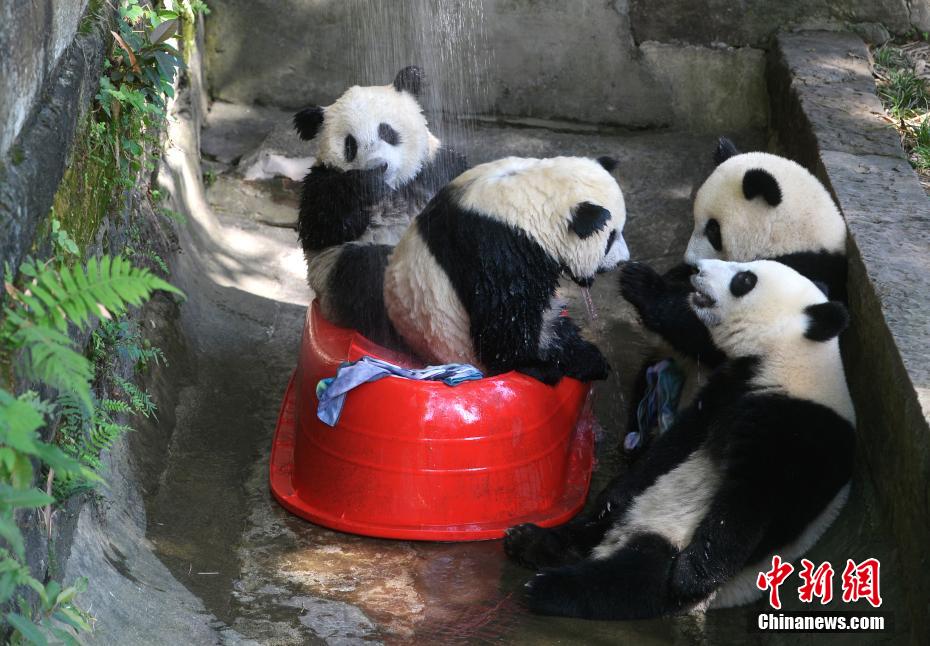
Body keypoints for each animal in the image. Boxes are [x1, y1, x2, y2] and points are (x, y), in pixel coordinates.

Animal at [504, 260, 852, 624]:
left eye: (744, 279)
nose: (698, 268)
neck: (789, 357)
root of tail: (618, 539)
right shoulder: (729, 387)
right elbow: (675, 444)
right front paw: (613, 494)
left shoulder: (797, 430)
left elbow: (749, 505)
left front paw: (689, 576)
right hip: (640, 509)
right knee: (591, 528)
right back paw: (531, 540)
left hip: (674, 539)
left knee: (633, 583)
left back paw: (545, 588)